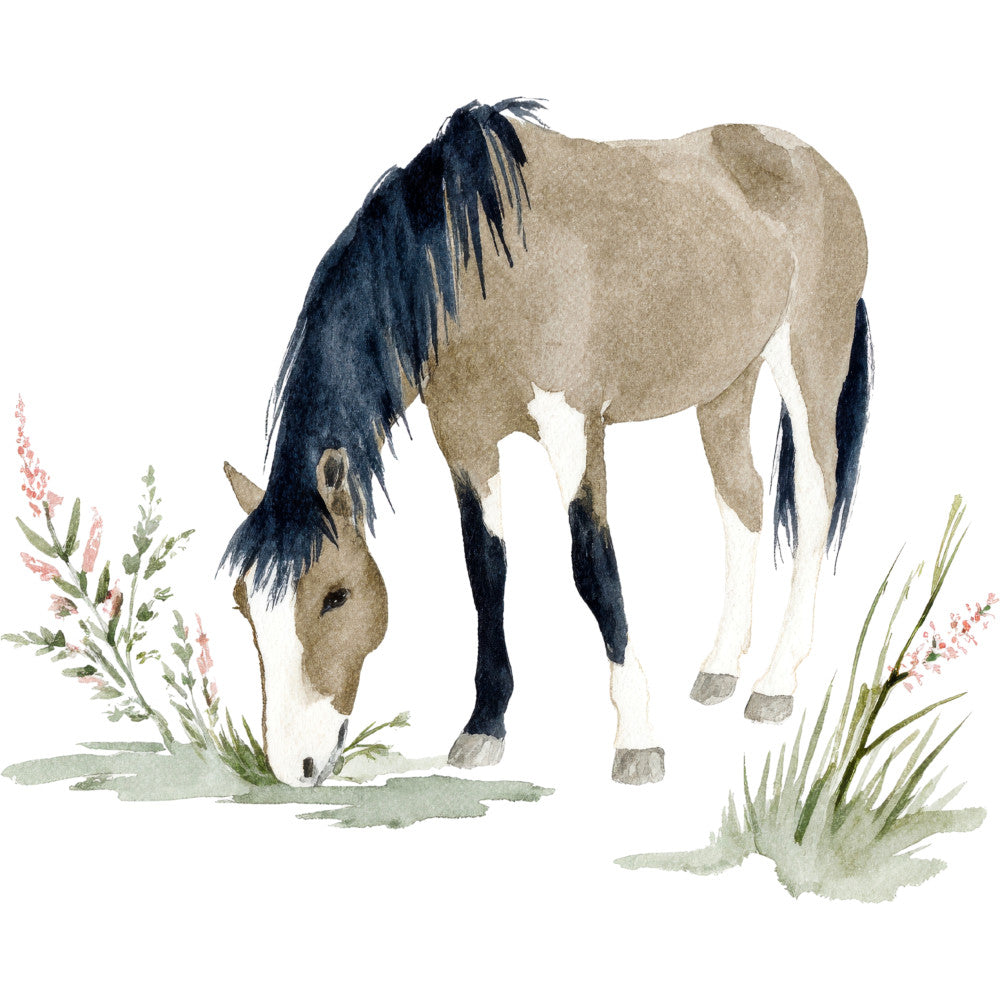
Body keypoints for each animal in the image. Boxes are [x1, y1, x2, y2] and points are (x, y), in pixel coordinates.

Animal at [222, 99, 871, 786]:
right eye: (243, 605)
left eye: (335, 596)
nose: (294, 766)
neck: (471, 264)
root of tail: (811, 162)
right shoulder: (465, 440)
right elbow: (486, 568)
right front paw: (484, 725)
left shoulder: (573, 428)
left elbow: (593, 566)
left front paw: (637, 739)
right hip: (725, 385)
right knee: (741, 498)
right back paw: (720, 667)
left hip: (808, 366)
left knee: (814, 501)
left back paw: (776, 683)